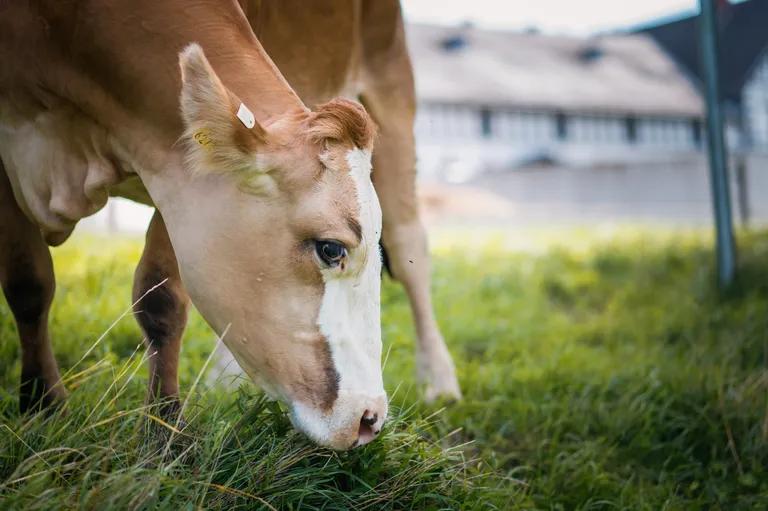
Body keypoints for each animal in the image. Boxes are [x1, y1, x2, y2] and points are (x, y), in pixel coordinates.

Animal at [0, 0, 460, 450]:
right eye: (331, 248)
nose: (370, 417)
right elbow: (29, 286)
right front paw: (42, 404)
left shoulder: (176, 175)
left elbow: (161, 300)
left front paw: (164, 428)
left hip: (392, 87)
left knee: (411, 249)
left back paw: (439, 381)